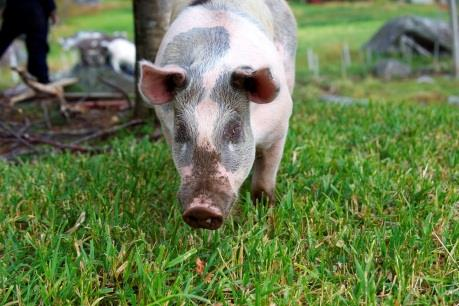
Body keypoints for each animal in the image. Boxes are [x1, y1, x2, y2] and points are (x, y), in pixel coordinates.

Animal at [139, 0, 298, 230]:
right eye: (181, 130)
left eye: (235, 129)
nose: (201, 209)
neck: (211, 68)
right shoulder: (165, 126)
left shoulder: (279, 127)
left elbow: (266, 174)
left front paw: (265, 208)